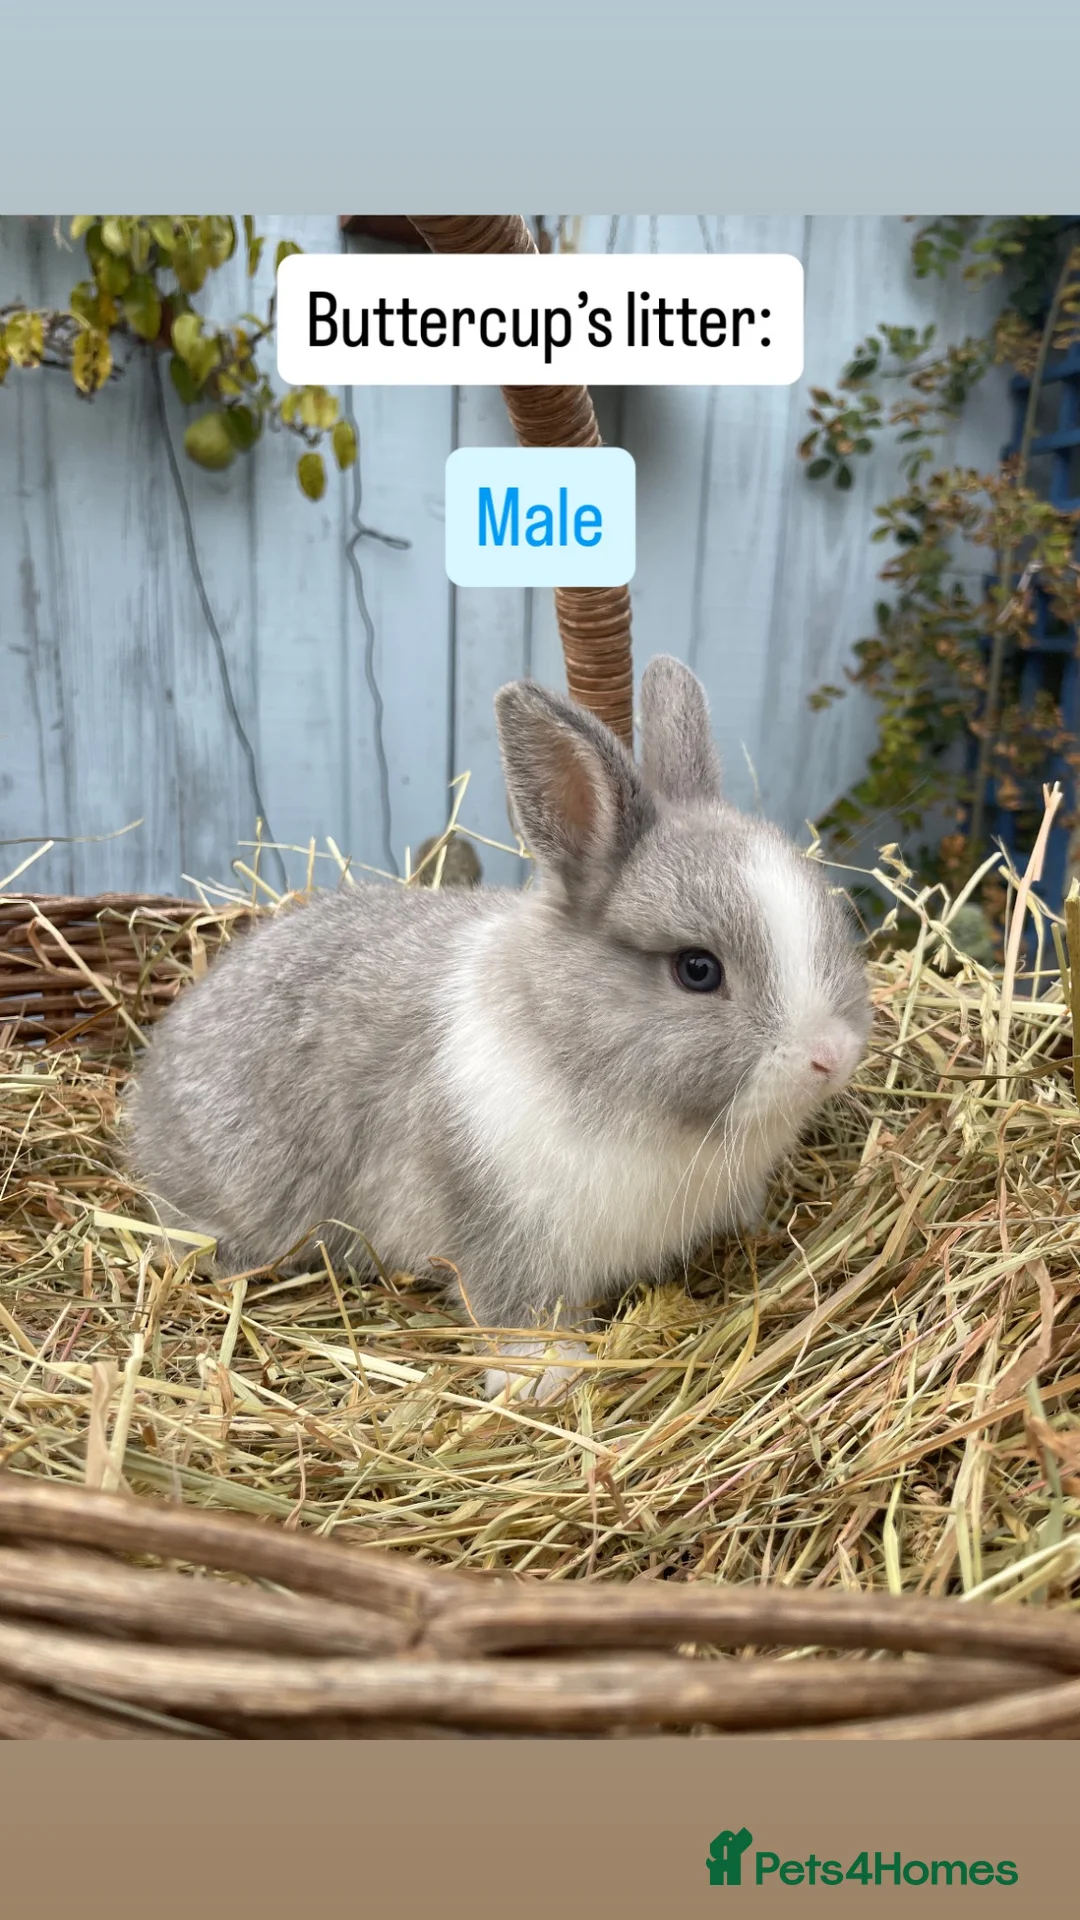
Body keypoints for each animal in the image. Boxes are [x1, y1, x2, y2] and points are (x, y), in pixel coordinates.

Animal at [123, 656, 872, 1405]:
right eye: (697, 969)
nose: (831, 1056)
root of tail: (150, 1088)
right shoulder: (496, 1223)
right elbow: (514, 1306)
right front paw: (545, 1376)